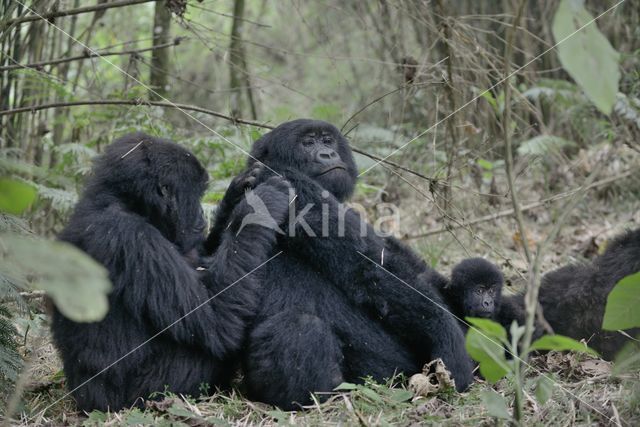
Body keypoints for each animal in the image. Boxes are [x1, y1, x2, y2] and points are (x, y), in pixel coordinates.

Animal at [51, 133, 288, 412]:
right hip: (138, 398)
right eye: (195, 195)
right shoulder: (131, 237)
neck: (124, 202)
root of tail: (85, 401)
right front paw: (262, 205)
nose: (201, 216)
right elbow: (217, 317)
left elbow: (203, 260)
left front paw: (238, 191)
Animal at [208, 118, 472, 410]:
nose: (328, 154)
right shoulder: (292, 186)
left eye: (327, 140)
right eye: (308, 143)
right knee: (299, 325)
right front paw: (451, 347)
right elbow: (372, 271)